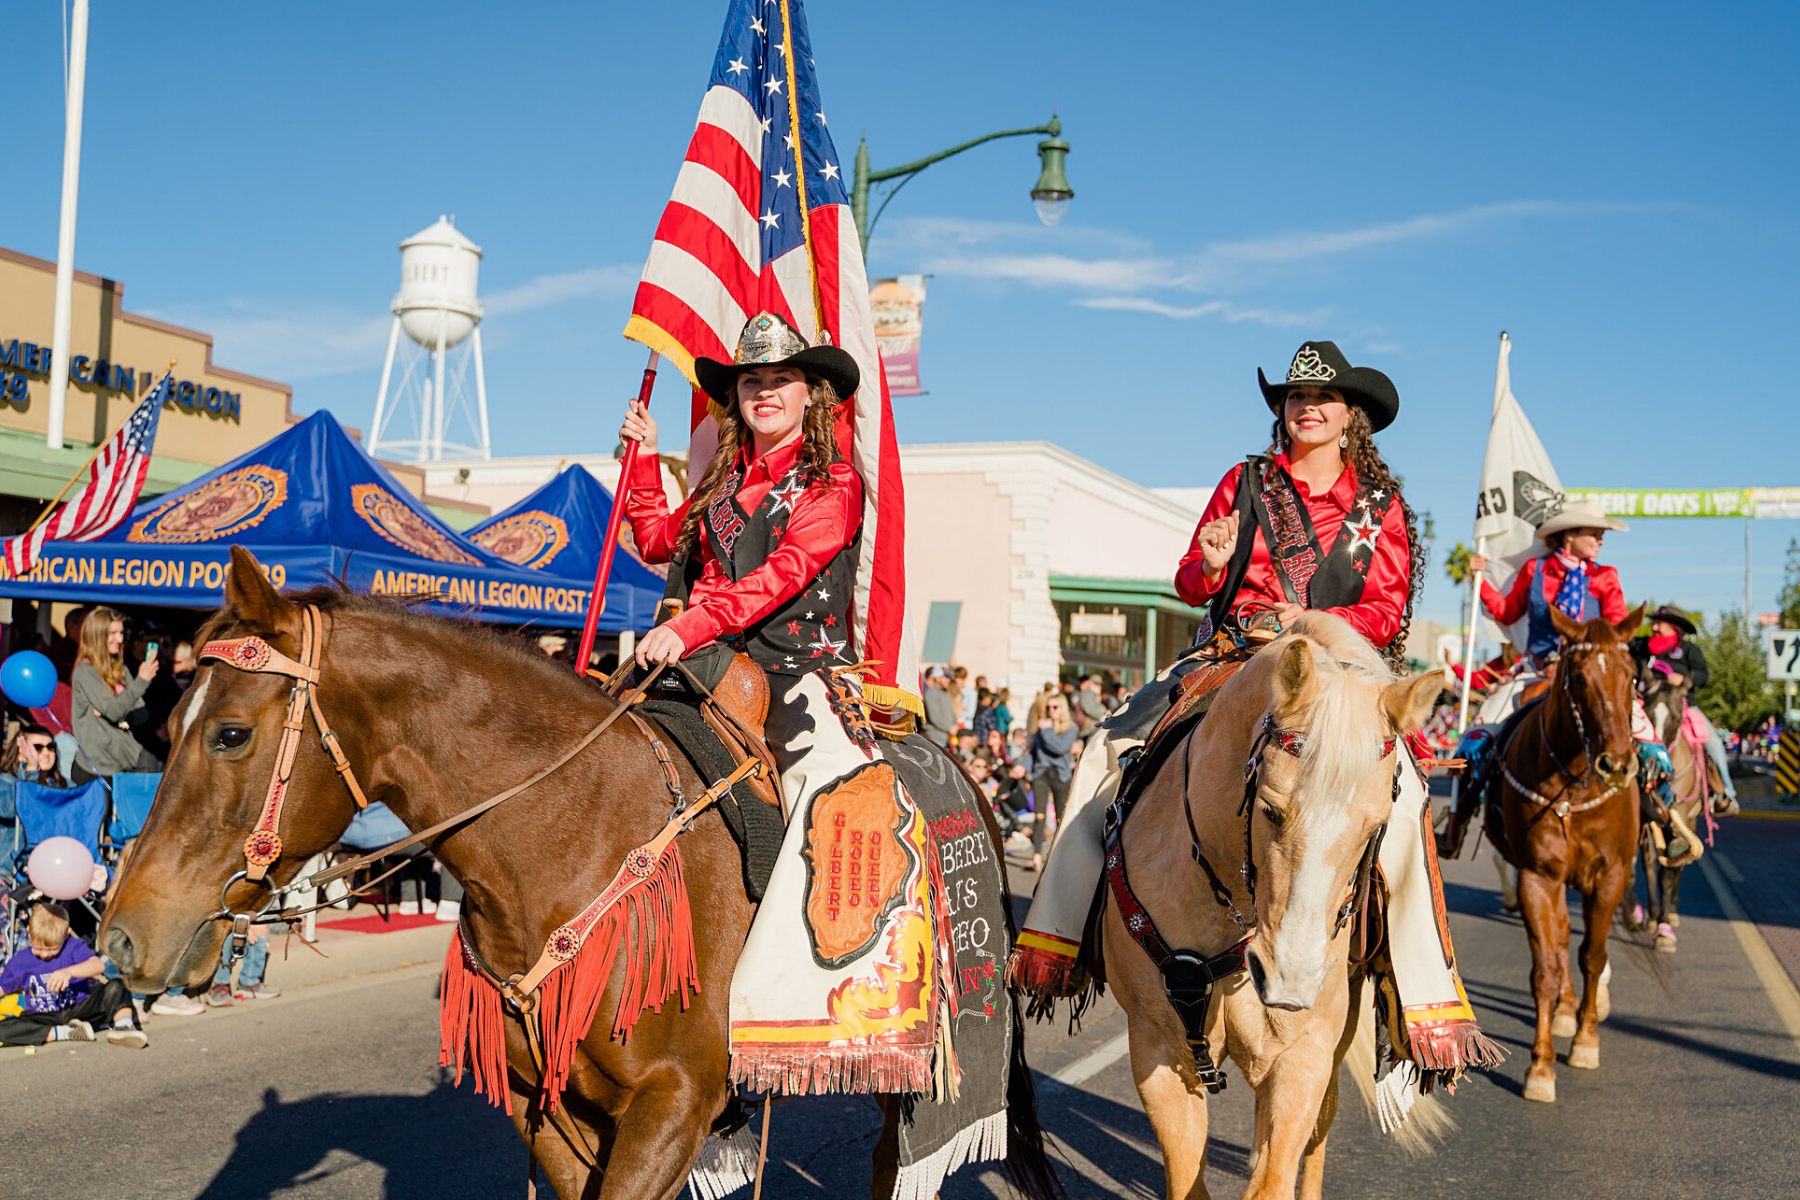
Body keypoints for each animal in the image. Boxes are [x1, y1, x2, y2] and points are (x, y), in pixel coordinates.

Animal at [94, 554, 1051, 1200]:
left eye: (229, 734)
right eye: (167, 723)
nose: (122, 934)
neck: (565, 837)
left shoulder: (673, 1106)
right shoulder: (553, 1111)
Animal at [1476, 604, 1648, 1101]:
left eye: (1632, 675)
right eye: (1578, 678)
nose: (1617, 764)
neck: (1575, 783)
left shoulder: (1611, 875)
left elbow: (1593, 956)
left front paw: (1587, 1040)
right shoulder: (1538, 876)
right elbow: (1546, 970)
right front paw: (1541, 1066)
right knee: (1559, 939)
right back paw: (1568, 1011)